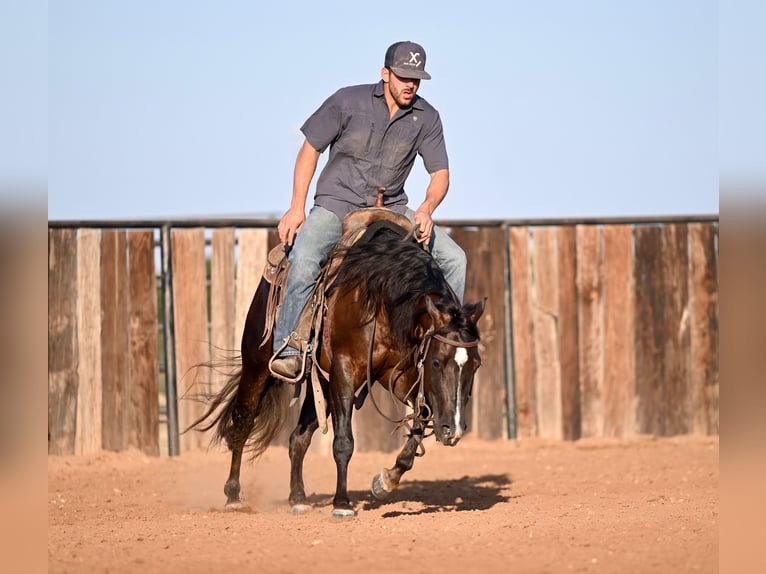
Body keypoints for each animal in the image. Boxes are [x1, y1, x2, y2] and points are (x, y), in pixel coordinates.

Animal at [189, 218, 486, 520]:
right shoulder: (345, 371)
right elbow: (344, 441)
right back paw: (233, 496)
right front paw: (342, 503)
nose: (454, 431)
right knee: (242, 423)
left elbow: (422, 417)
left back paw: (298, 497)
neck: (383, 296)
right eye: (437, 362)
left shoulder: (402, 378)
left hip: (320, 383)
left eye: (476, 365)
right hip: (257, 364)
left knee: (298, 437)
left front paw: (386, 480)